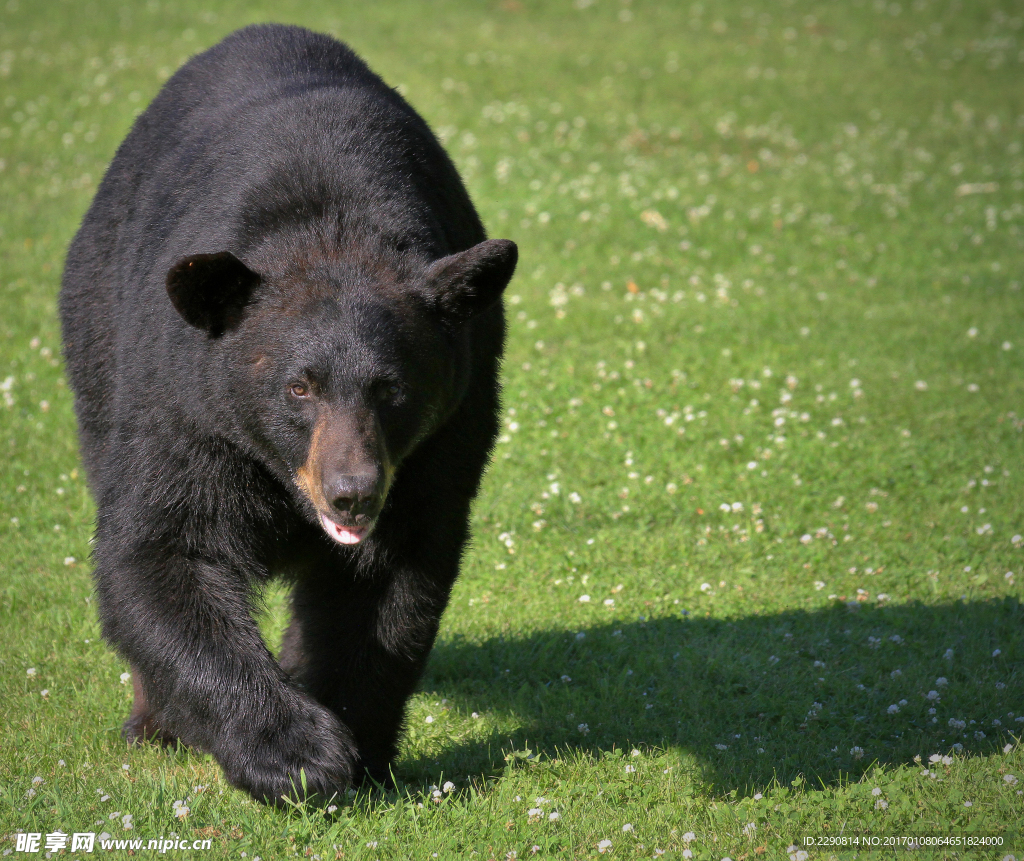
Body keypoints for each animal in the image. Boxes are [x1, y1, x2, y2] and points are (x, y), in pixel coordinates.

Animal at [59, 23, 517, 804]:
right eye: (299, 388)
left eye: (393, 388)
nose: (352, 492)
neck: (331, 231)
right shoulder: (184, 409)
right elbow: (158, 554)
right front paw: (296, 752)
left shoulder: (441, 444)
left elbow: (391, 591)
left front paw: (354, 743)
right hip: (96, 334)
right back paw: (156, 721)